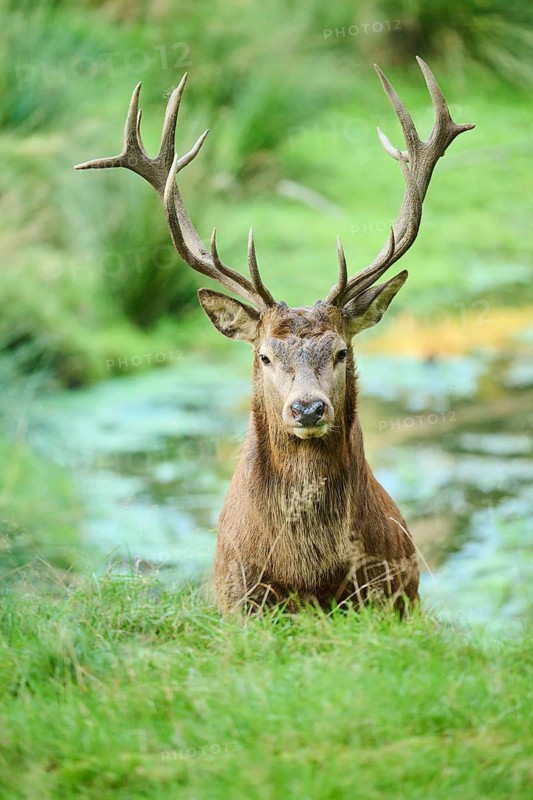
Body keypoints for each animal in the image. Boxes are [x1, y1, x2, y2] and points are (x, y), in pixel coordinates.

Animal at [75, 57, 474, 615]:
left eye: (341, 351)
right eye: (264, 355)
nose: (307, 408)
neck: (309, 579)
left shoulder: (390, 597)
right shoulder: (239, 597)